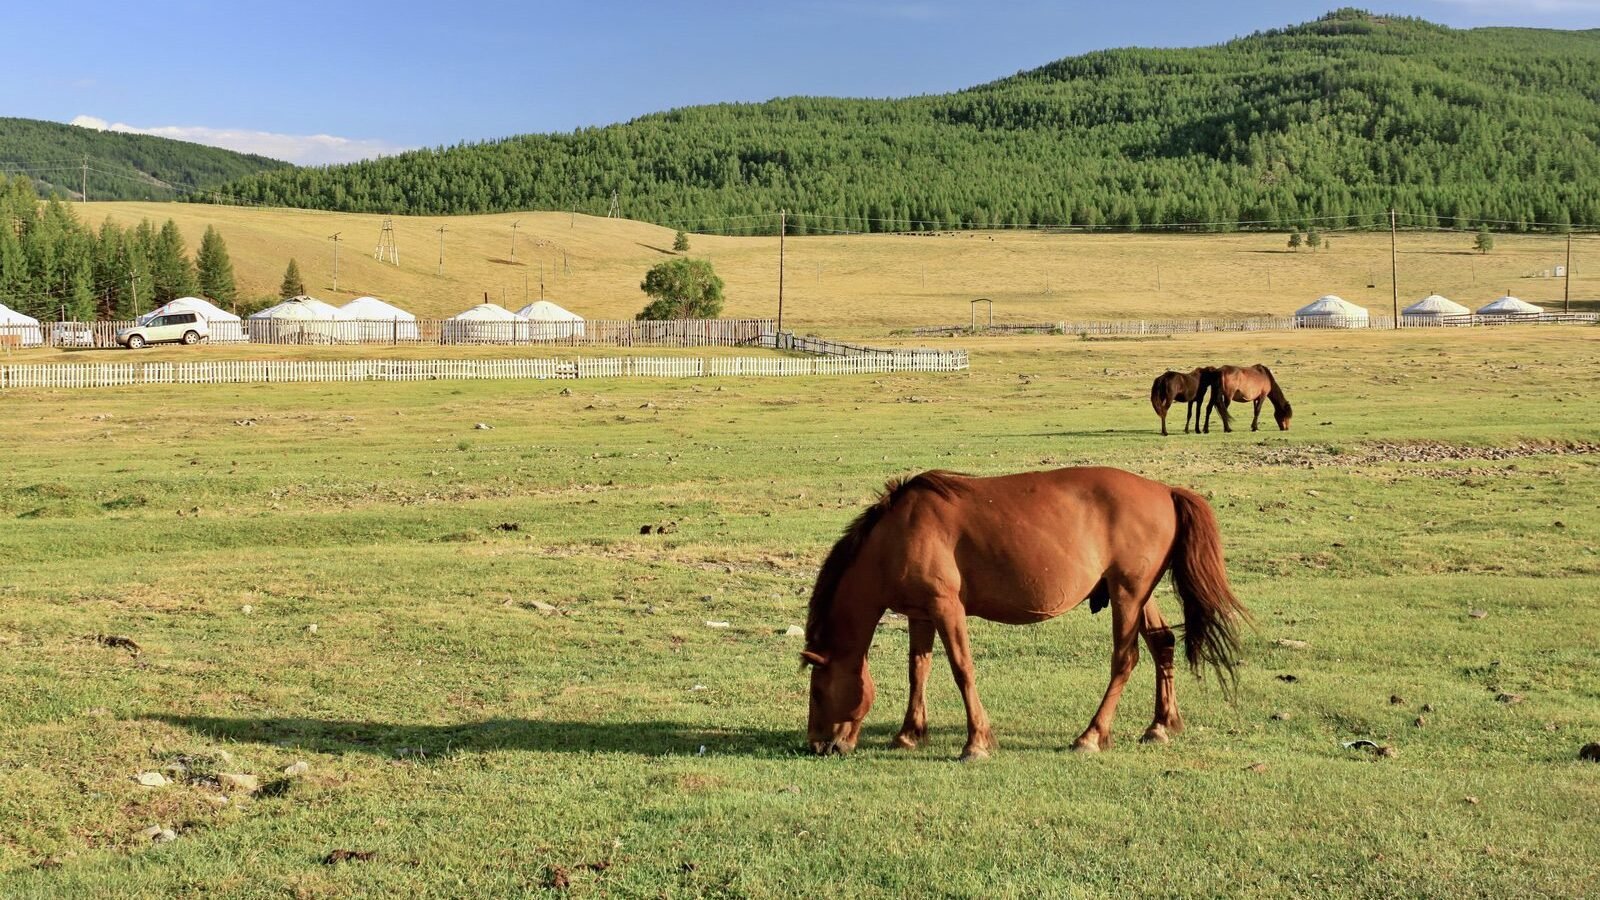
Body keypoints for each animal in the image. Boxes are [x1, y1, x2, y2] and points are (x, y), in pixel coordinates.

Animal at [800, 467, 1249, 761]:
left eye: (818, 691)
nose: (820, 746)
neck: (896, 535)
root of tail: (1165, 490)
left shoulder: (947, 608)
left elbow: (962, 669)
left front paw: (976, 743)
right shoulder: (921, 613)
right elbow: (918, 670)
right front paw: (909, 734)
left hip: (1128, 594)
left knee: (1126, 659)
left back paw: (1091, 735)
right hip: (1138, 594)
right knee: (1162, 645)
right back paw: (1160, 725)